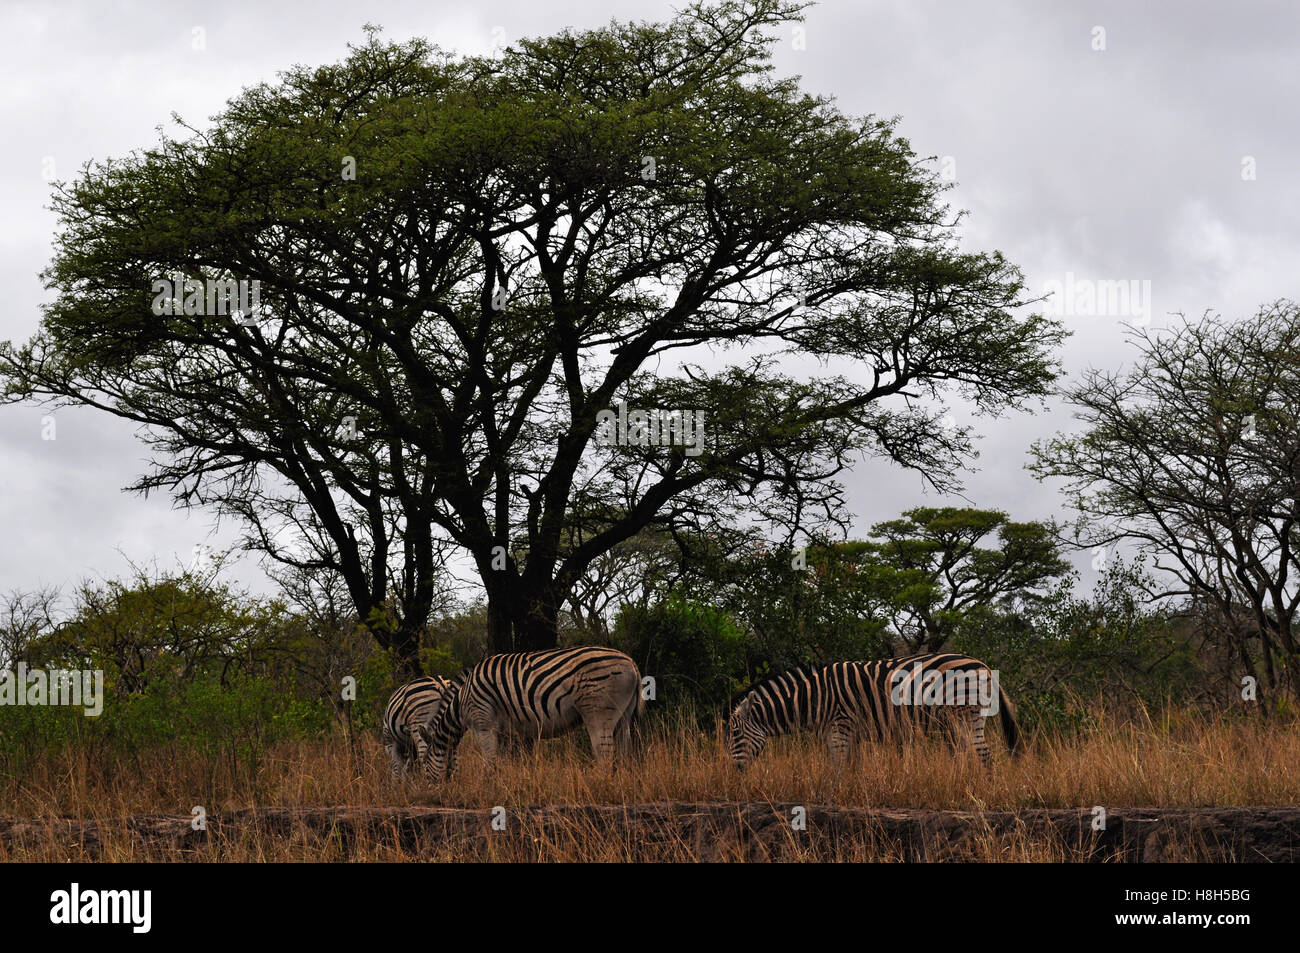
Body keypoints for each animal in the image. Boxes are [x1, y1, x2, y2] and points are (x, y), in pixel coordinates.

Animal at [421, 647, 644, 780]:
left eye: (424, 765)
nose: (429, 790)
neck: (460, 702)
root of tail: (631, 662)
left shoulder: (483, 723)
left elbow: (489, 760)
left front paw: (488, 786)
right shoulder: (503, 731)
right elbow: (502, 760)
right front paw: (504, 784)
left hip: (598, 713)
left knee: (604, 753)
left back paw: (599, 783)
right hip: (623, 716)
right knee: (622, 750)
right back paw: (619, 783)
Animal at [728, 650, 1019, 769]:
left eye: (734, 735)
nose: (735, 772)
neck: (813, 700)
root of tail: (983, 665)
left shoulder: (839, 728)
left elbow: (835, 769)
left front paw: (832, 796)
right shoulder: (850, 733)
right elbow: (852, 767)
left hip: (962, 716)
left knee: (976, 755)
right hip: (964, 720)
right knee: (975, 755)